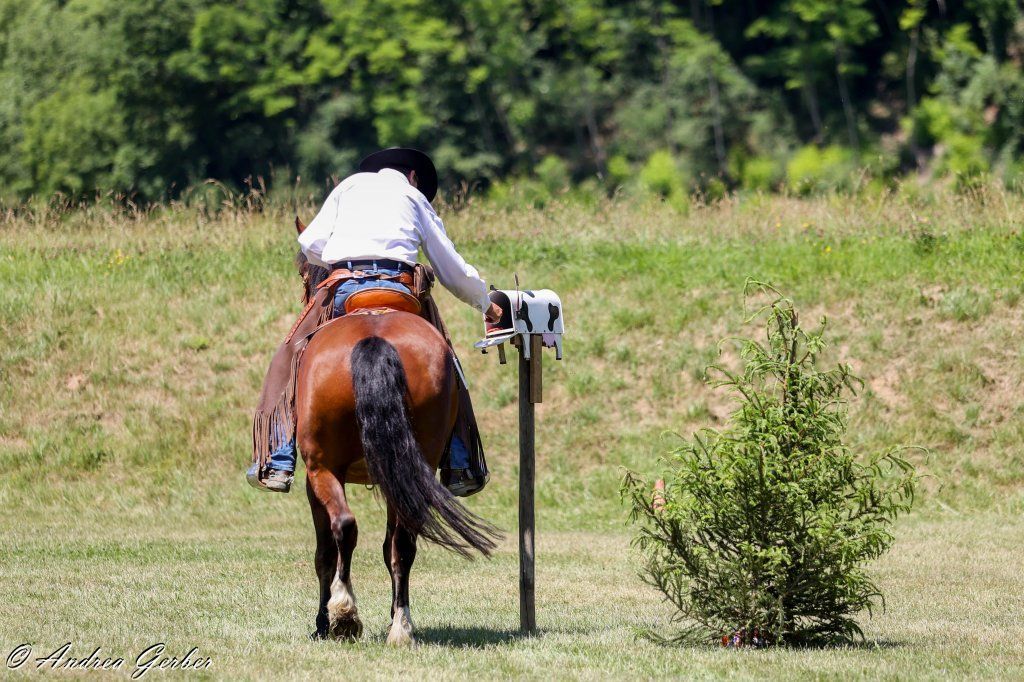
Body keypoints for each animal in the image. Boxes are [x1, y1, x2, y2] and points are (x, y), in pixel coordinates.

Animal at [291, 221, 500, 646]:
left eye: (305, 275)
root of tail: (374, 337)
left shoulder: (313, 476)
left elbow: (324, 553)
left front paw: (323, 622)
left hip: (322, 467)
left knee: (345, 528)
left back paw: (344, 614)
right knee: (402, 543)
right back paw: (401, 626)